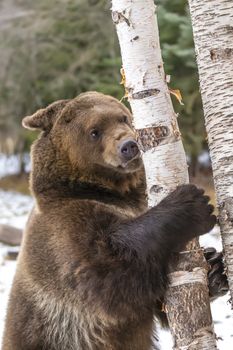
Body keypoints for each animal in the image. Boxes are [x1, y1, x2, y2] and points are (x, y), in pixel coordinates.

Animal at [2, 91, 228, 348]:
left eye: (124, 118)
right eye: (94, 131)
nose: (129, 145)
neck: (110, 191)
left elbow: (160, 303)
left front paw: (215, 267)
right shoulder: (63, 233)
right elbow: (110, 273)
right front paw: (193, 203)